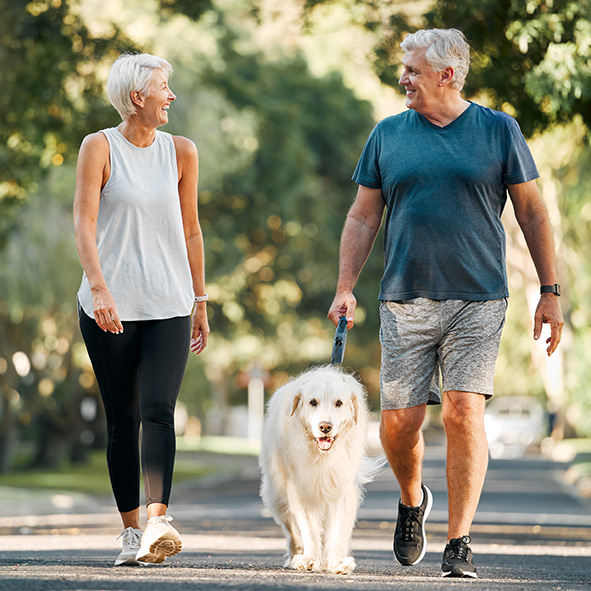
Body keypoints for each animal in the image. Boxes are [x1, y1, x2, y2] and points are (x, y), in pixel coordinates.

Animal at [260, 366, 380, 572]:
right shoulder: (301, 490)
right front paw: (309, 559)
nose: (325, 427)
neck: (322, 456)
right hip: (278, 494)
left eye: (338, 403)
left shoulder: (341, 489)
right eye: (312, 402)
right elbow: (308, 529)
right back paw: (296, 556)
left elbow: (338, 530)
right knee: (293, 529)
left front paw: (337, 561)